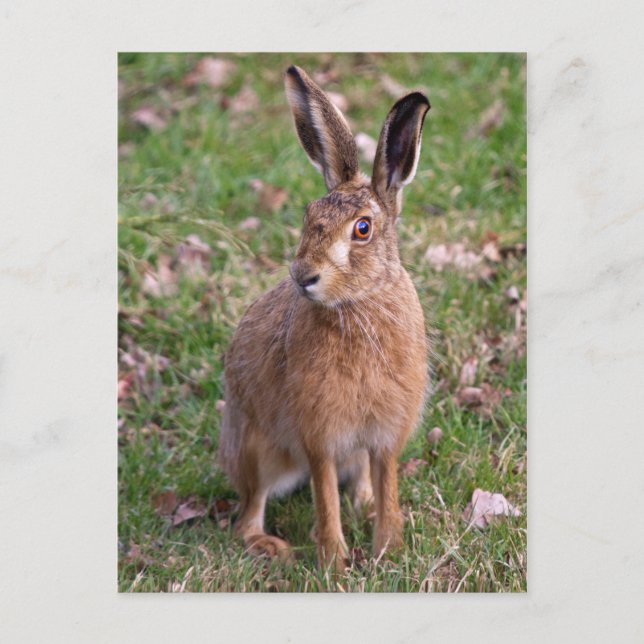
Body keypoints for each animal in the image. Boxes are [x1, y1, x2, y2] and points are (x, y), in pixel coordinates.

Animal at [219, 65, 430, 570]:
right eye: (307, 215)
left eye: (363, 229)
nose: (303, 276)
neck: (358, 305)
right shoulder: (319, 436)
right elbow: (324, 494)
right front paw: (334, 561)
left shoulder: (385, 435)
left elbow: (387, 482)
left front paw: (387, 549)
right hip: (259, 452)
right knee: (247, 515)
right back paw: (270, 546)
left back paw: (364, 504)